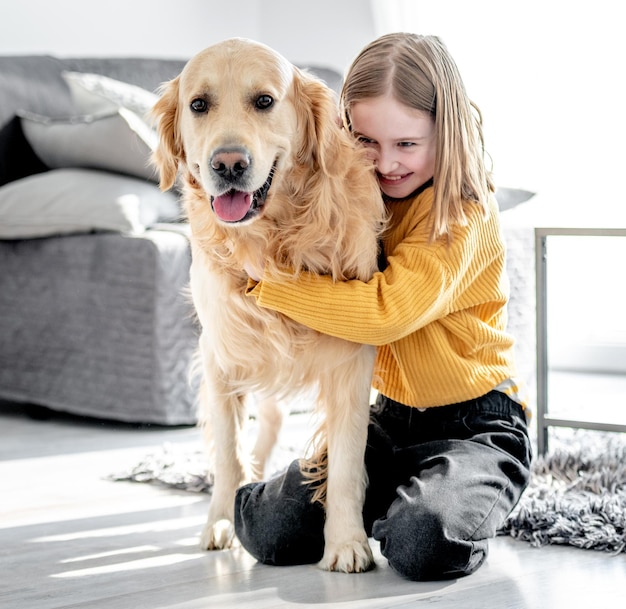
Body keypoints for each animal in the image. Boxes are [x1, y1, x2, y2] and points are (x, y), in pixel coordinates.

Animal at [152, 39, 386, 576]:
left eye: (264, 101)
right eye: (198, 105)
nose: (228, 164)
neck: (273, 242)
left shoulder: (351, 359)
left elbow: (346, 460)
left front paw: (346, 542)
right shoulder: (221, 355)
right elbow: (228, 453)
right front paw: (222, 520)